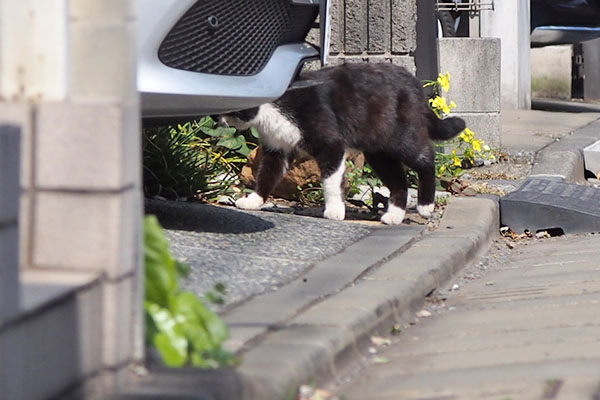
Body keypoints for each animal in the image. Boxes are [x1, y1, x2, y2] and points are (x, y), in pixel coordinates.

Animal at [220, 62, 464, 225]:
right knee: (399, 181)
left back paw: (425, 206)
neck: (271, 110)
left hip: (402, 137)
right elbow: (266, 176)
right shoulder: (276, 148)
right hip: (379, 152)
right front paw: (254, 201)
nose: (215, 117)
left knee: (426, 159)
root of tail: (414, 82)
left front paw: (335, 210)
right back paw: (394, 215)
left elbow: (330, 181)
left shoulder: (331, 145)